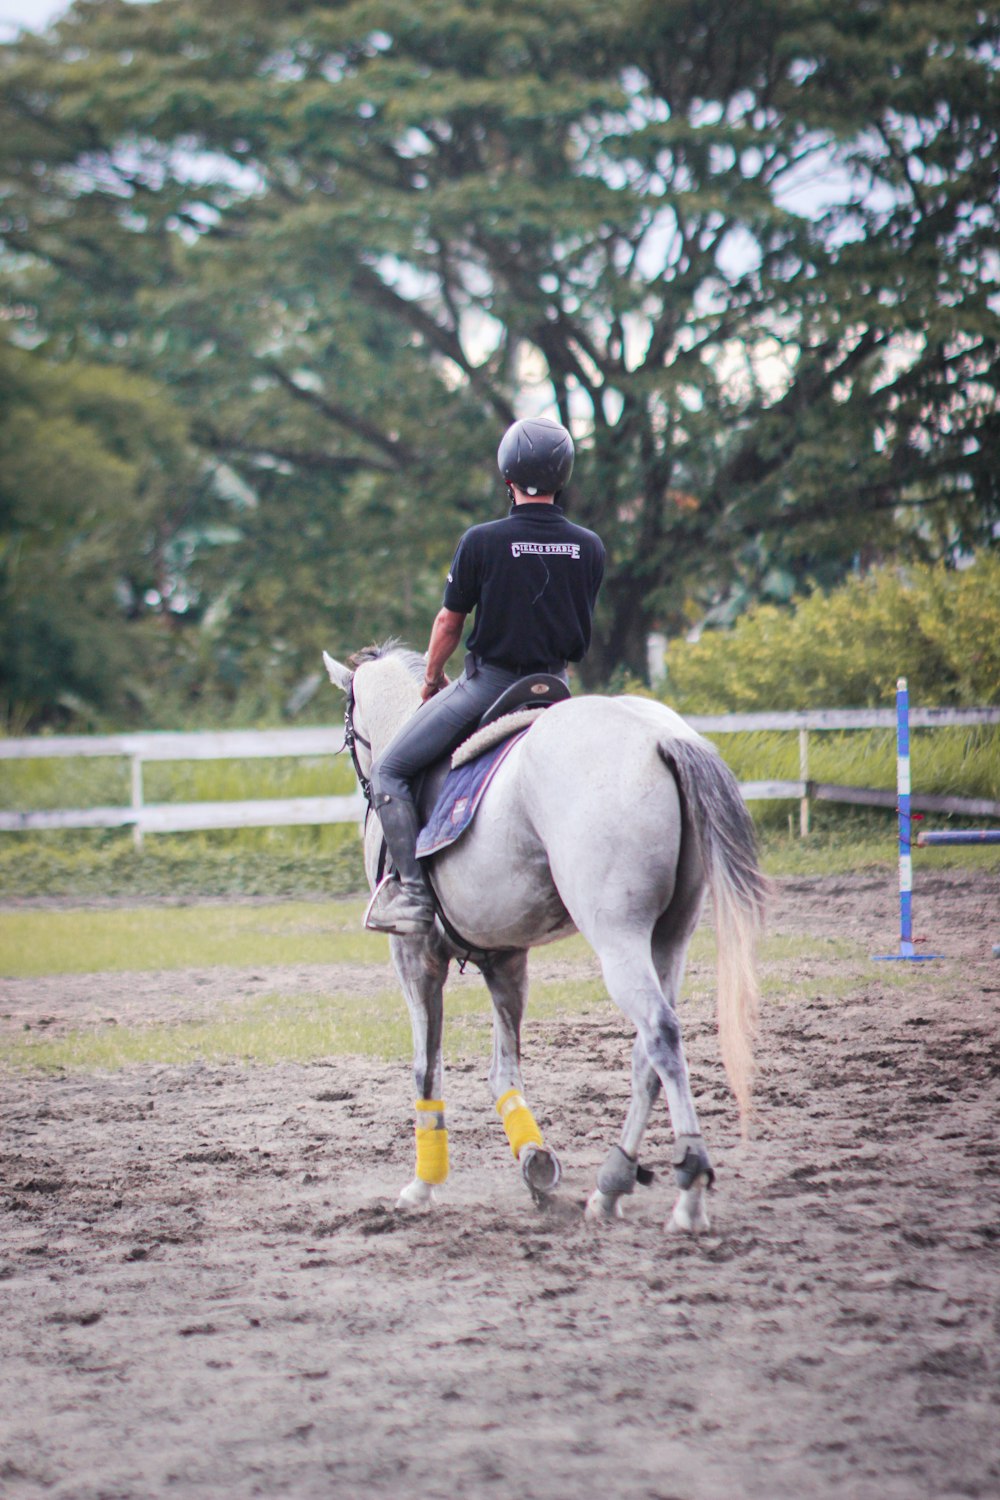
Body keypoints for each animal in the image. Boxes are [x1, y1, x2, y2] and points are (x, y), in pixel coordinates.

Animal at [322, 645, 767, 1230]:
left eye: (349, 730)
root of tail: (657, 737)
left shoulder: (415, 957)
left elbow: (426, 1069)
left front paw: (423, 1184)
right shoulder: (506, 958)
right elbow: (503, 1071)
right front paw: (534, 1160)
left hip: (619, 938)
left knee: (661, 1036)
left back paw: (689, 1191)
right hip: (669, 938)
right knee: (646, 1055)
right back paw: (611, 1184)